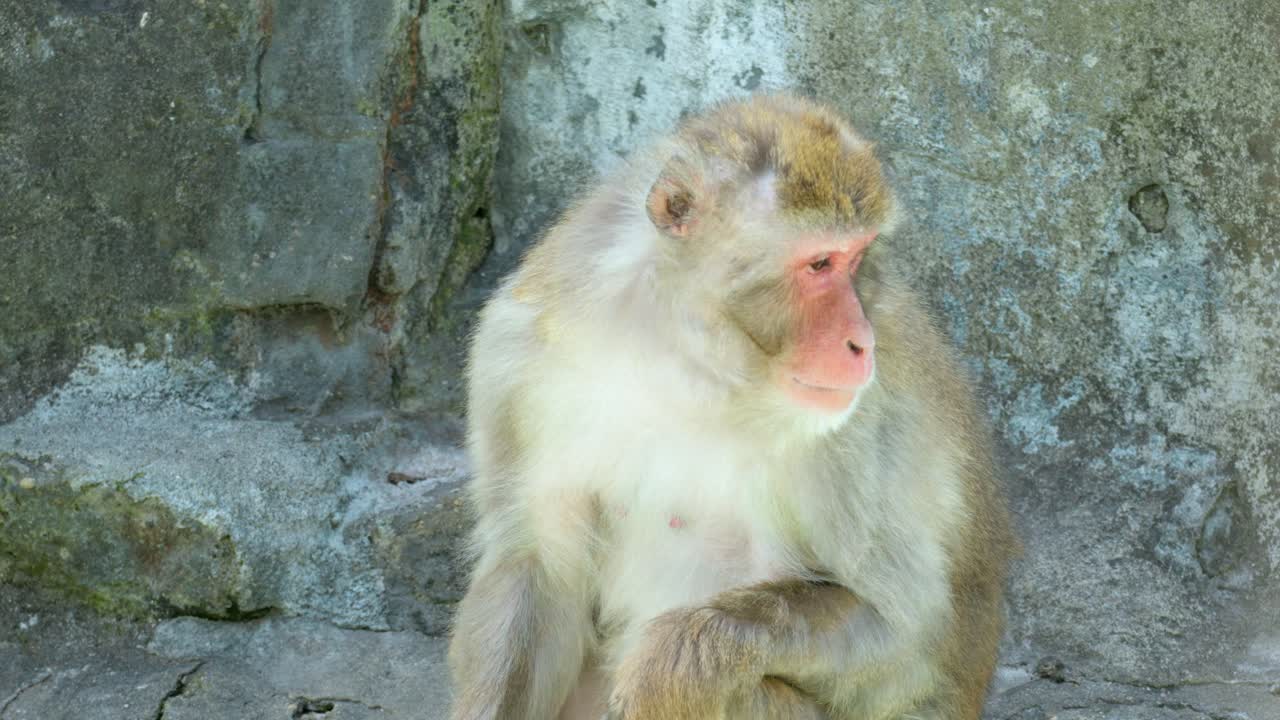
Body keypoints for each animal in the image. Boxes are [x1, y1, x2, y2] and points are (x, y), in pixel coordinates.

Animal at [447, 94, 1015, 720]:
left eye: (856, 257)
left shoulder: (856, 432)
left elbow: (905, 631)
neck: (685, 363)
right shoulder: (520, 359)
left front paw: (669, 664)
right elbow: (535, 567)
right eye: (820, 264)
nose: (862, 342)